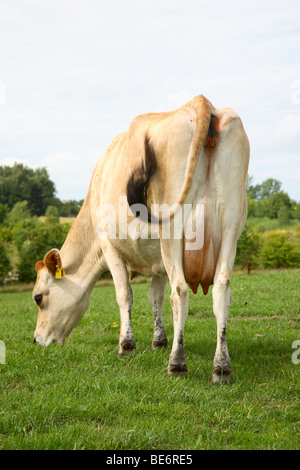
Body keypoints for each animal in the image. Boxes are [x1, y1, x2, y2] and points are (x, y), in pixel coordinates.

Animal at [32, 94, 250, 382]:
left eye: (38, 297)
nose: (36, 339)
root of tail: (200, 102)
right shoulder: (158, 260)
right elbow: (155, 296)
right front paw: (159, 341)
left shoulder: (110, 247)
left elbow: (125, 294)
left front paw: (126, 345)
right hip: (230, 225)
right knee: (222, 290)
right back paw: (221, 367)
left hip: (174, 230)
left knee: (180, 292)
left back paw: (177, 364)